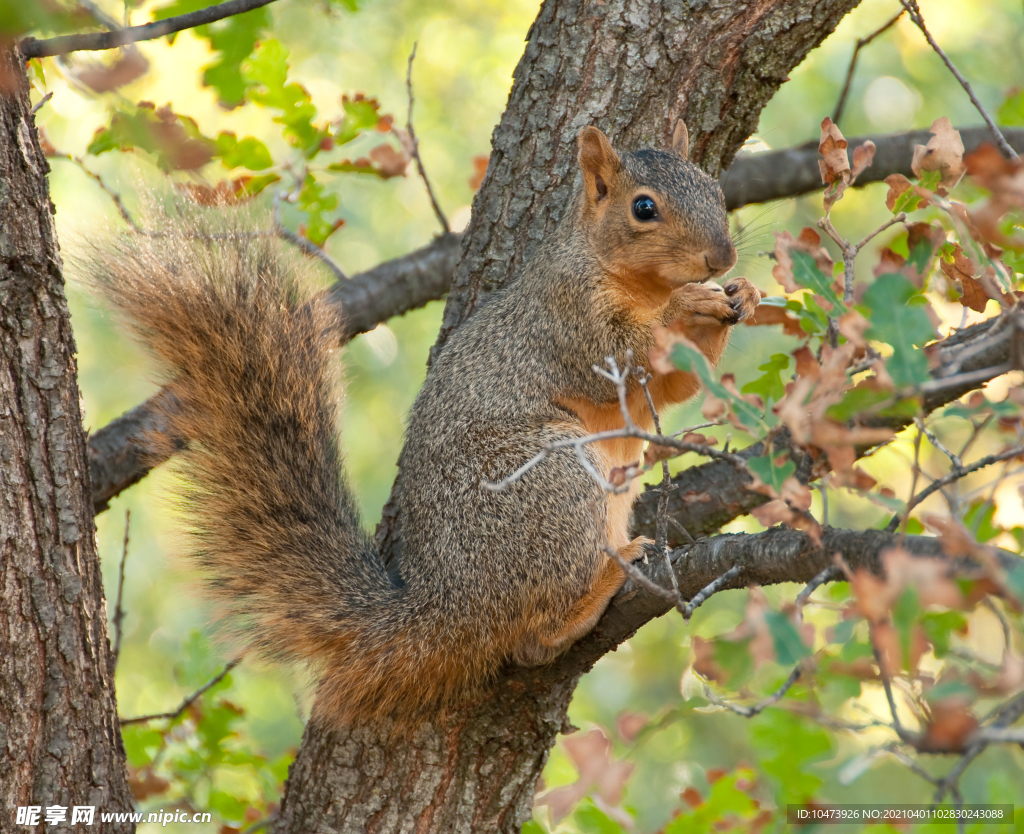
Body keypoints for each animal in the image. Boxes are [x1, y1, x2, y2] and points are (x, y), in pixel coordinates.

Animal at [90, 120, 761, 729]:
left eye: (713, 185)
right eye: (643, 208)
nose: (722, 257)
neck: (634, 281)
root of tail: (446, 608)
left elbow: (675, 387)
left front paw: (743, 296)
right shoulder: (565, 318)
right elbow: (620, 361)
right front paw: (690, 305)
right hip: (548, 480)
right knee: (536, 633)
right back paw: (601, 581)